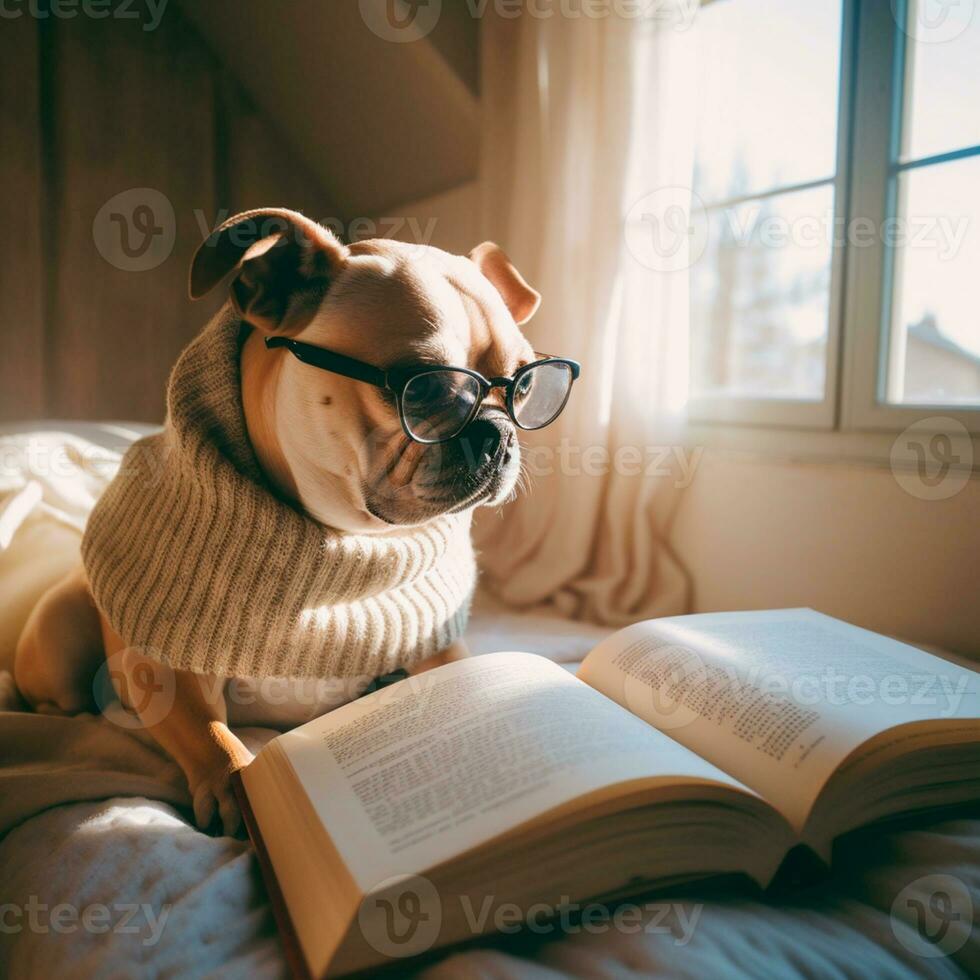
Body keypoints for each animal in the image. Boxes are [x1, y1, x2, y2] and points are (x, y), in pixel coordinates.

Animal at [15, 207, 548, 836]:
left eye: (527, 385)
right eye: (428, 388)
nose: (500, 434)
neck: (347, 537)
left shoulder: (437, 641)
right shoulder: (163, 660)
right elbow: (207, 730)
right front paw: (235, 788)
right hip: (62, 628)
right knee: (60, 695)